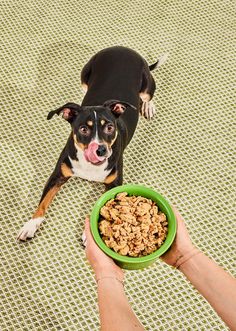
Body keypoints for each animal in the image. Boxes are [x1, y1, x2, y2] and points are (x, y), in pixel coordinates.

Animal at [17, 46, 167, 241]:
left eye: (110, 127)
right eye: (83, 129)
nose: (101, 150)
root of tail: (124, 48)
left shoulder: (114, 185)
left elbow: (101, 209)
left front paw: (90, 235)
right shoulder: (58, 175)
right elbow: (43, 202)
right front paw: (30, 225)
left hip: (147, 86)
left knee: (147, 97)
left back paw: (148, 107)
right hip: (85, 74)